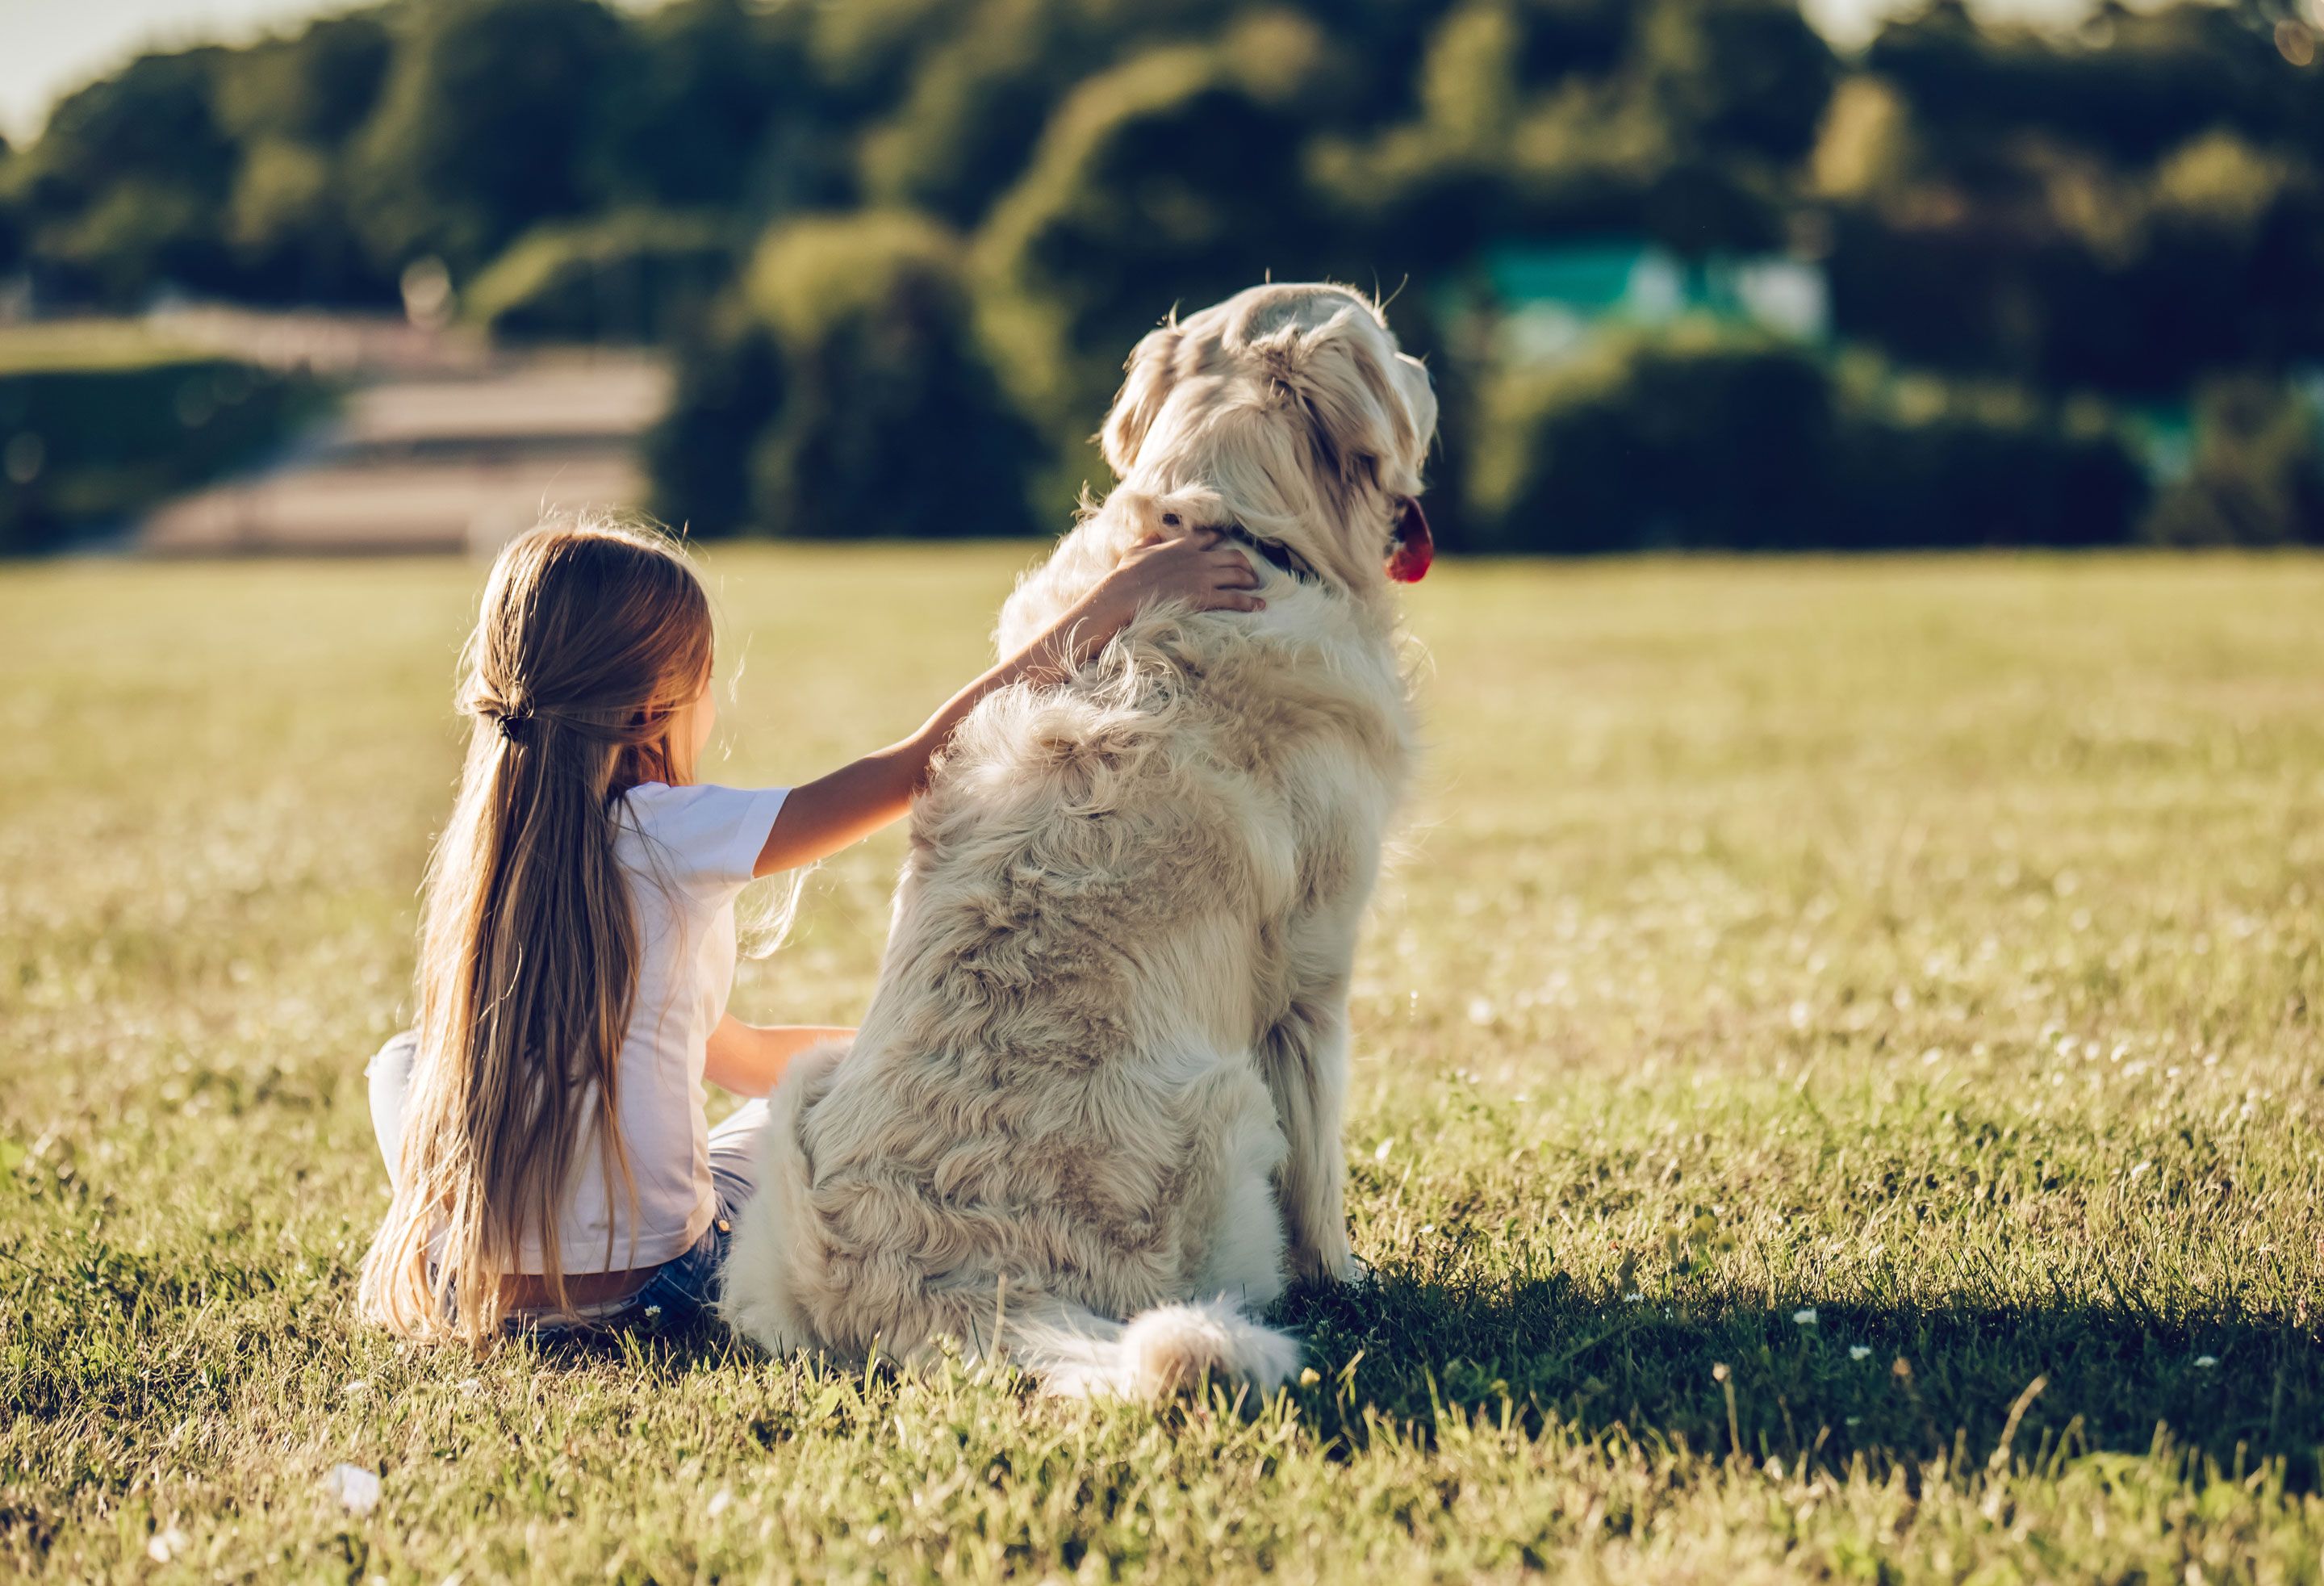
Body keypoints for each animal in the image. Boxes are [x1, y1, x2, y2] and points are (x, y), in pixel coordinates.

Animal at [725, 283, 1440, 1395]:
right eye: (1391, 344)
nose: (1430, 371)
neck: (1237, 524)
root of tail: (943, 1292)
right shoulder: (1316, 968)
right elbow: (1322, 1159)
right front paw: (1350, 1278)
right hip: (1229, 1109)